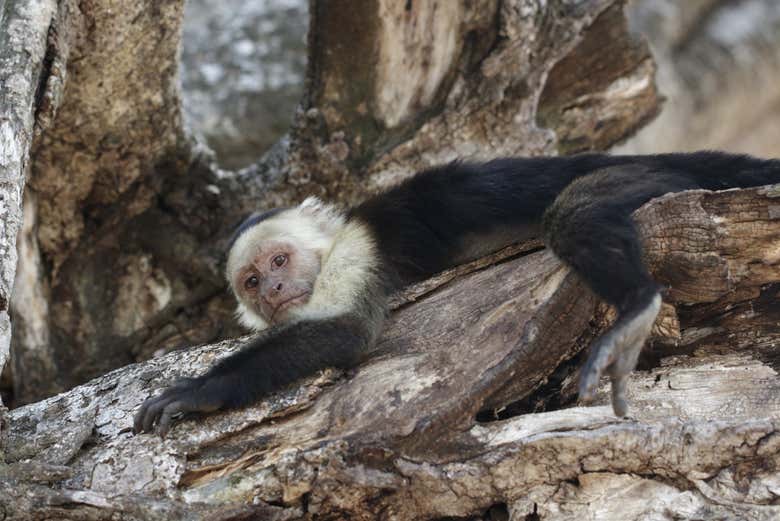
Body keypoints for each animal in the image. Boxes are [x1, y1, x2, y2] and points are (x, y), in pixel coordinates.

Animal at [134, 151, 780, 435]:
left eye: (278, 259)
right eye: (250, 282)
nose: (270, 287)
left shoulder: (357, 250)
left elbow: (347, 330)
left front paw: (197, 392)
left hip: (654, 180)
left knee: (573, 211)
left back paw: (637, 304)